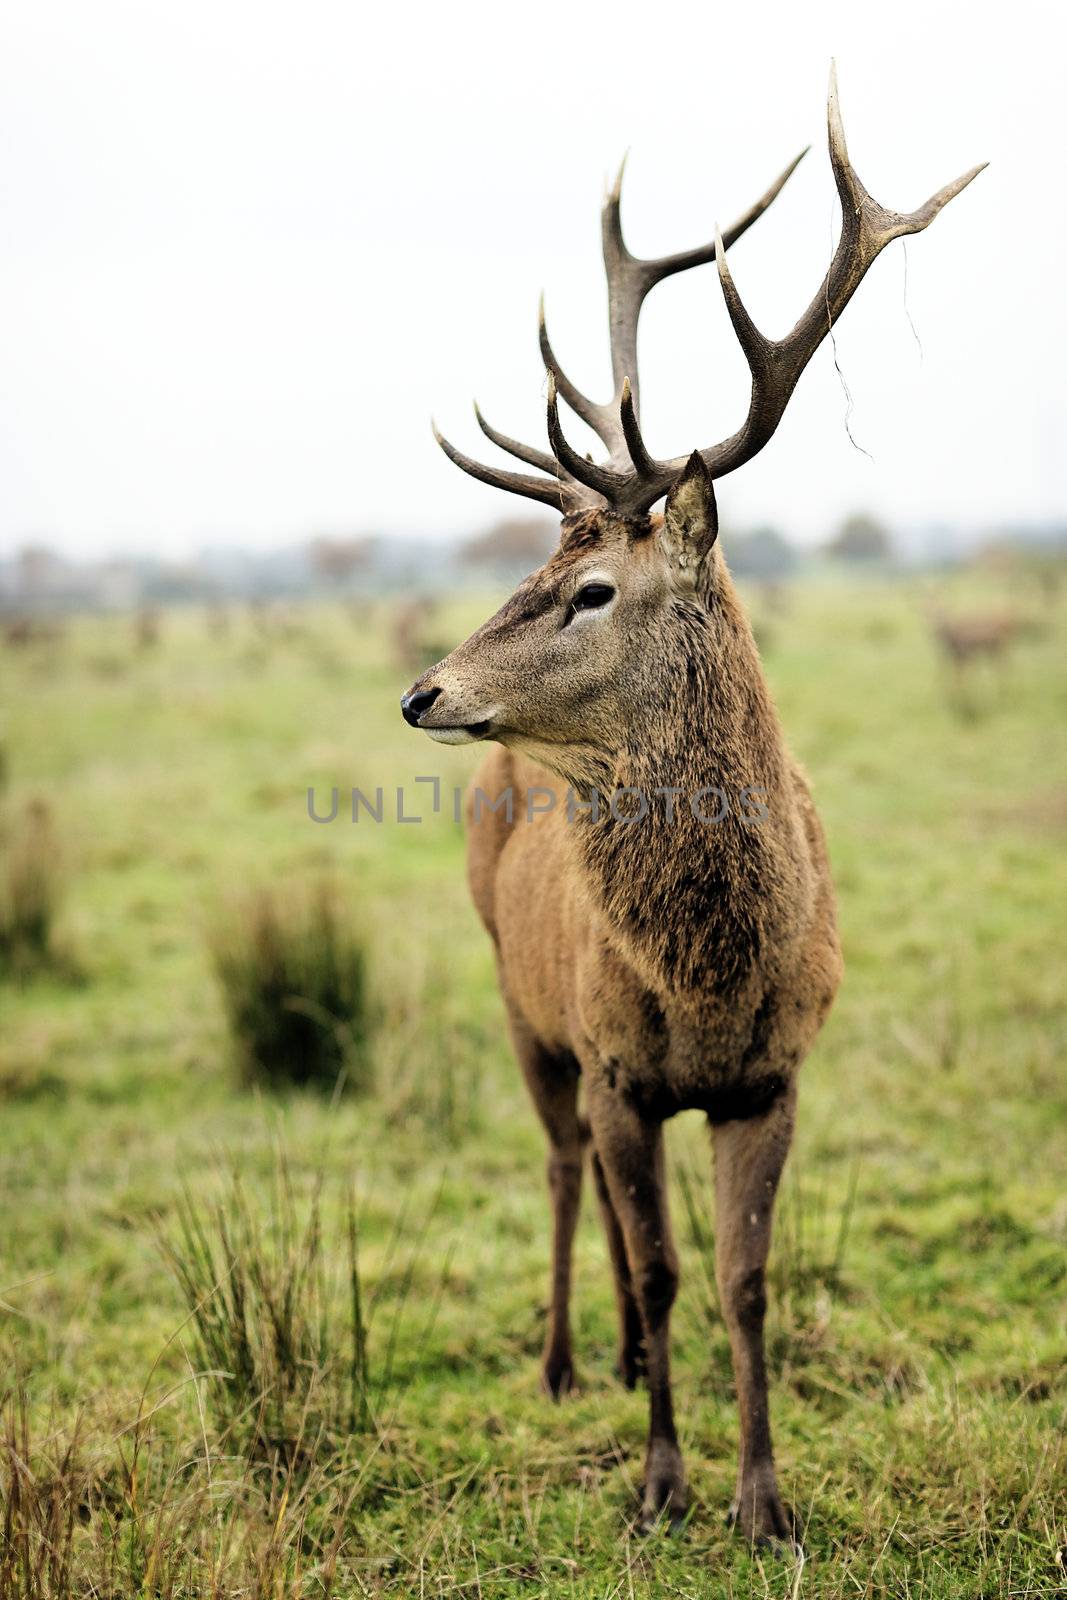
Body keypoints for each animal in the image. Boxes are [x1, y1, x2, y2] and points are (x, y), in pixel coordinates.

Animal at [403, 68, 985, 1542]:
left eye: (590, 588)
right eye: (535, 568)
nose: (422, 690)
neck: (710, 979)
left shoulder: (770, 1074)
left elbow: (738, 1281)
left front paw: (763, 1499)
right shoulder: (615, 1060)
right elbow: (667, 1267)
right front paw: (661, 1484)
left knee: (623, 1213)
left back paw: (613, 1356)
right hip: (517, 1001)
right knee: (567, 1177)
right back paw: (569, 1361)